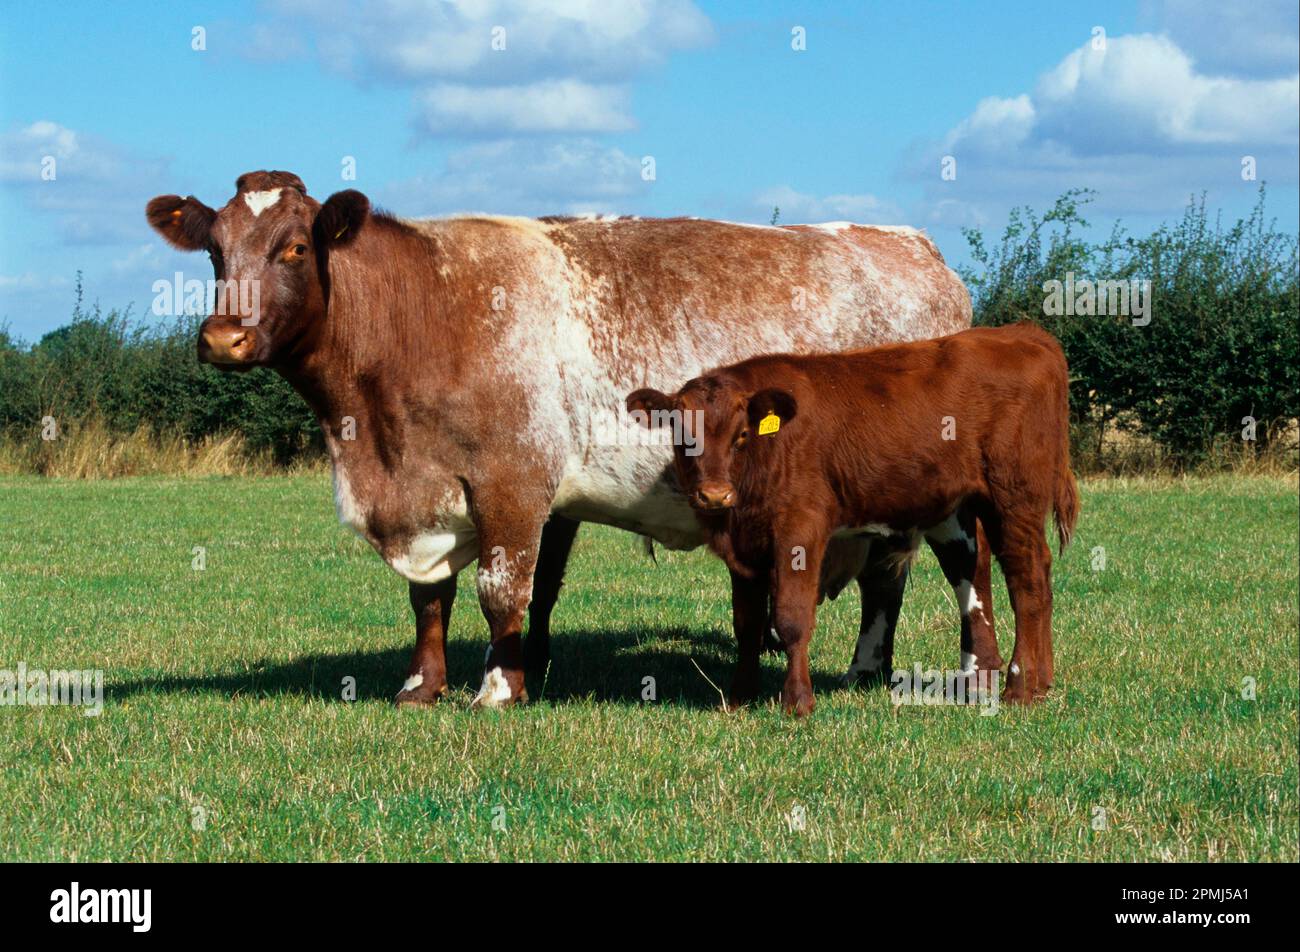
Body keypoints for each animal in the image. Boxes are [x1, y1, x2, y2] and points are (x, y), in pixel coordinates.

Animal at [144, 169, 993, 707]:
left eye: (293, 247)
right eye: (216, 251)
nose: (222, 338)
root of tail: (916, 248)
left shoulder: (513, 481)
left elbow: (501, 591)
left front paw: (497, 688)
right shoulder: (431, 494)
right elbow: (430, 597)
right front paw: (422, 686)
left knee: (960, 563)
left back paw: (975, 672)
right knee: (887, 574)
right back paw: (866, 669)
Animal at [626, 321, 1076, 712]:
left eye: (741, 435)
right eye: (682, 435)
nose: (715, 495)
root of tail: (1022, 334)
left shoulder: (800, 530)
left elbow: (791, 618)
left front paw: (797, 701)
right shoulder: (744, 548)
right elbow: (747, 625)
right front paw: (738, 697)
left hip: (1013, 498)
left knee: (1027, 581)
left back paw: (1020, 686)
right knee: (1037, 574)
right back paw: (1042, 681)